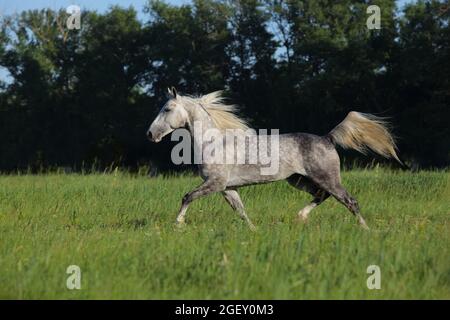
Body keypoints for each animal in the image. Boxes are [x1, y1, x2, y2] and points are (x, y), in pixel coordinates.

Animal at [147, 87, 400, 230]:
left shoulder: (215, 183)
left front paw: (178, 223)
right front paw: (253, 230)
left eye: (167, 109)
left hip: (327, 178)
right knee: (322, 196)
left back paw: (365, 229)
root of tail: (327, 138)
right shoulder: (227, 188)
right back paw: (300, 217)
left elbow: (187, 197)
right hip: (299, 180)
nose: (150, 134)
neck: (214, 144)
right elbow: (240, 211)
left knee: (349, 201)